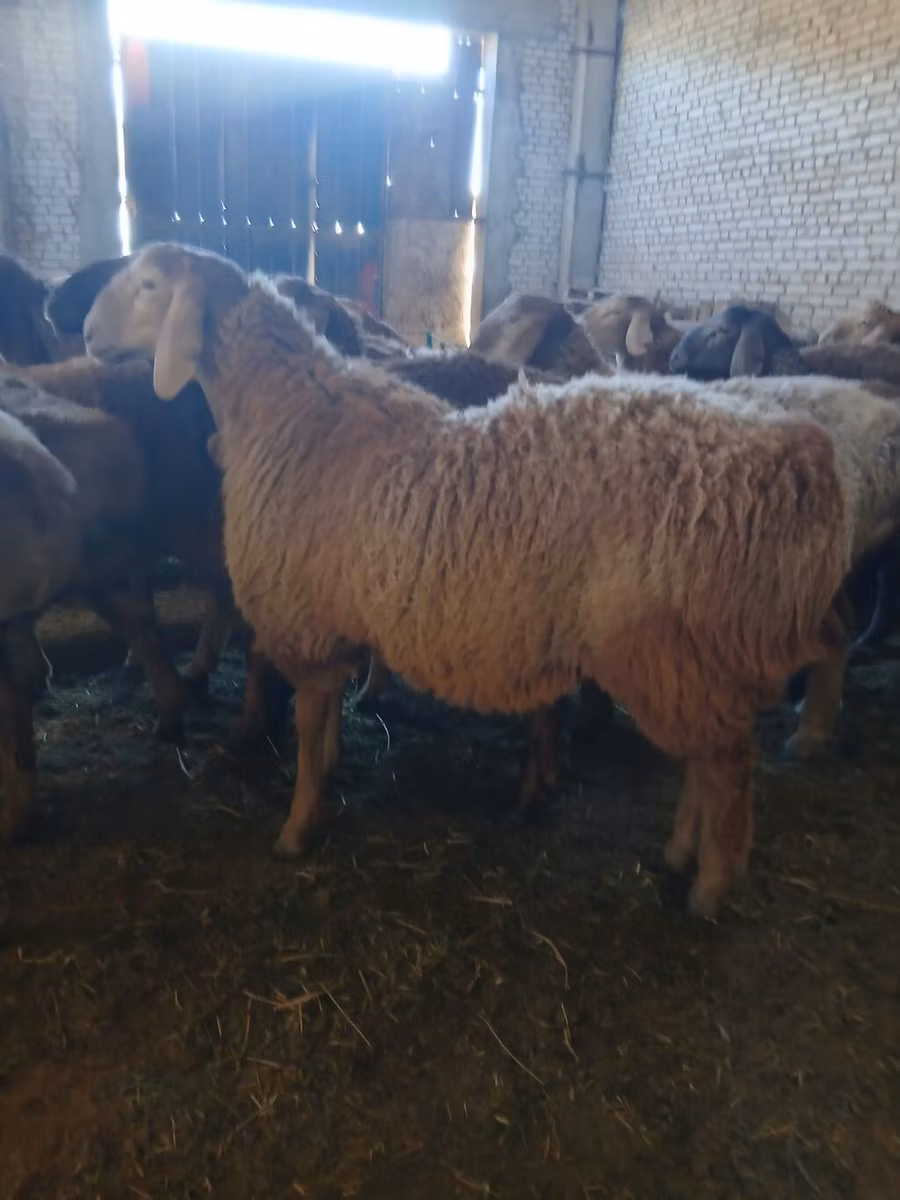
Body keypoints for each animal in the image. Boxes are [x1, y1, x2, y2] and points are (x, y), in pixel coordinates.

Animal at [83, 243, 856, 917]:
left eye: (149, 285)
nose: (86, 332)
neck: (290, 417)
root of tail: (801, 456)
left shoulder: (307, 616)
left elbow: (304, 727)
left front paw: (298, 829)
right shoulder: (335, 621)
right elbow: (323, 723)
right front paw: (329, 776)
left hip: (670, 644)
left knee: (726, 762)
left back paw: (711, 886)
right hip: (693, 655)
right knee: (707, 756)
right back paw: (679, 855)